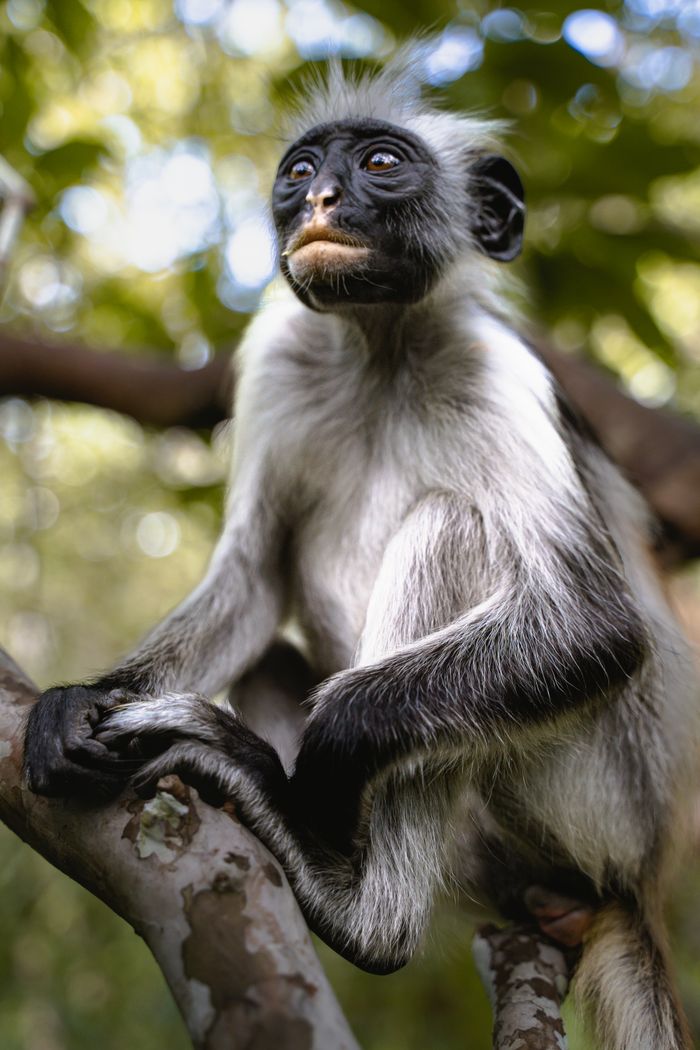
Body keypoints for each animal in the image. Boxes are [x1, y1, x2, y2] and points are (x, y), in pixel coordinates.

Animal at [23, 59, 697, 1050]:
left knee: (453, 528)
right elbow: (253, 580)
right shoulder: (281, 355)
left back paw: (357, 905)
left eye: (381, 163)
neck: (380, 346)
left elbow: (594, 627)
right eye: (301, 172)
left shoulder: (495, 367)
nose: (322, 201)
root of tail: (638, 880)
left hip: (597, 801)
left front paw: (320, 766)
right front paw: (84, 701)